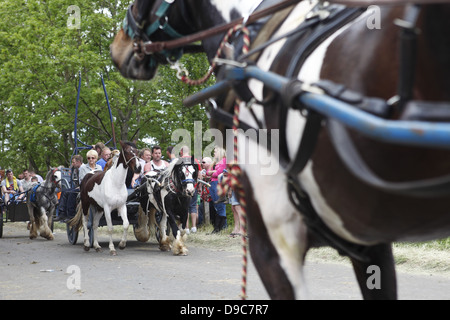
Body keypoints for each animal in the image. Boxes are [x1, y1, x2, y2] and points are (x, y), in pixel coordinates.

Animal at [111, 0, 450, 300]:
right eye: (184, 172)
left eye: (195, 169)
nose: (119, 47)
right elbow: (173, 225)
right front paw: (174, 244)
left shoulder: (277, 240)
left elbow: (183, 227)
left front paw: (179, 244)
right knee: (157, 219)